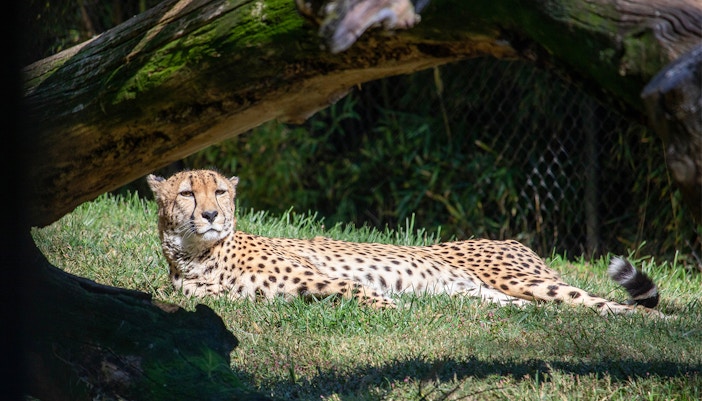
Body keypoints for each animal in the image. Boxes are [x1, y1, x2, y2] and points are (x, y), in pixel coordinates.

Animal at [147, 169, 661, 315]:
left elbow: (365, 293)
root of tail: (515, 241)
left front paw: (396, 311)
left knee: (613, 305)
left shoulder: (330, 279)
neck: (199, 256)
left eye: (220, 191)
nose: (211, 215)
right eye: (188, 193)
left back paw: (656, 324)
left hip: (527, 281)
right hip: (492, 297)